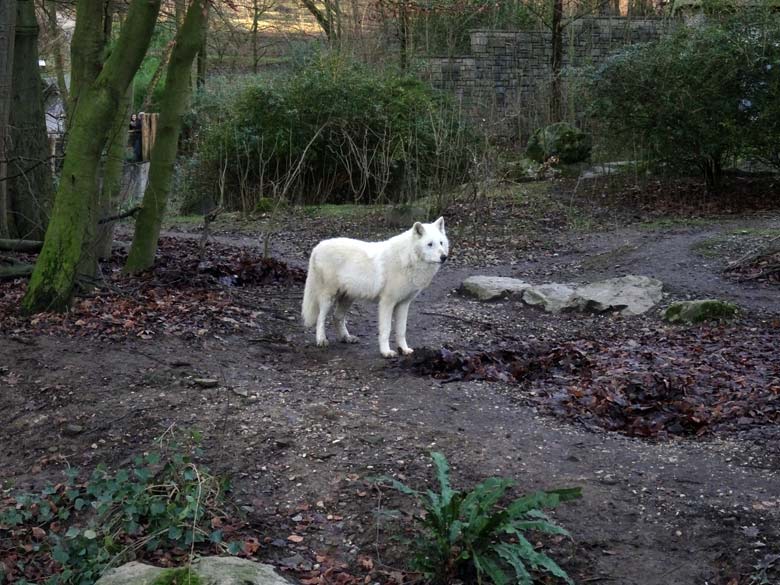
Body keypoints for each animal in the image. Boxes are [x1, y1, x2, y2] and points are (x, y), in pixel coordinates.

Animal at [304, 218, 450, 358]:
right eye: (430, 244)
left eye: (441, 243)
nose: (444, 257)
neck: (408, 259)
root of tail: (318, 246)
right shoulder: (387, 303)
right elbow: (386, 330)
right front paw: (386, 352)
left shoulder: (403, 304)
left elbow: (401, 330)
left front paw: (404, 349)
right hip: (328, 297)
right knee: (320, 318)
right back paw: (321, 340)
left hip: (348, 298)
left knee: (337, 317)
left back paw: (346, 338)